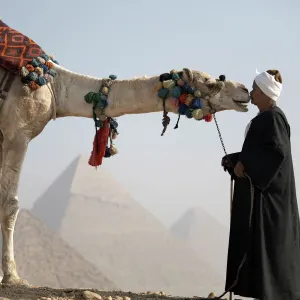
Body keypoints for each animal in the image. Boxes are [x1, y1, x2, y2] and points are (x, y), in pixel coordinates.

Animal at [0, 58, 248, 284]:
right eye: (210, 83)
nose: (244, 91)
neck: (56, 86)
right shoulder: (18, 133)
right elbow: (10, 204)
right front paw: (12, 277)